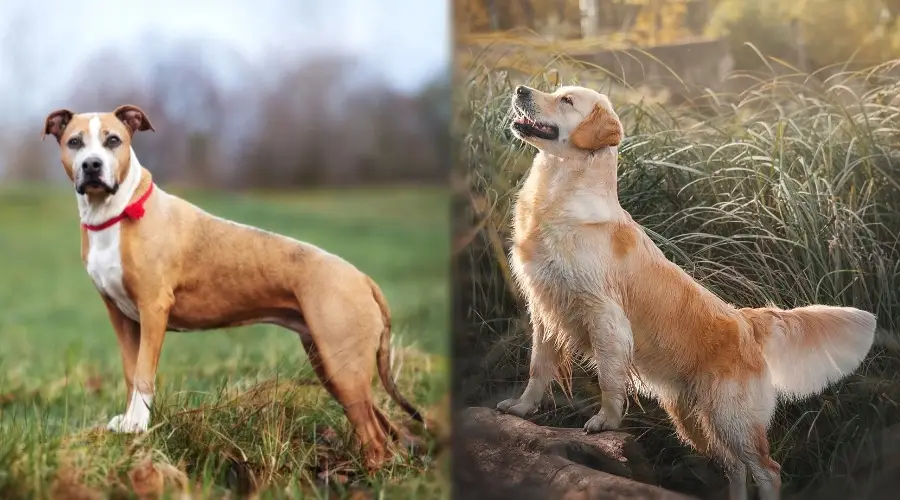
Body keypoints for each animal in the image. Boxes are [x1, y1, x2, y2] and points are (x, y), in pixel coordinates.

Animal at [41, 105, 422, 468]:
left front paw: (138, 425)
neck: (117, 214)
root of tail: (362, 278)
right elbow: (130, 373)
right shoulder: (122, 318)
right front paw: (128, 422)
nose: (92, 165)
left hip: (343, 366)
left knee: (374, 436)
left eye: (113, 140)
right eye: (74, 142)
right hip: (330, 365)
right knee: (381, 425)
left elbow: (144, 374)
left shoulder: (153, 310)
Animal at [496, 86, 876, 500]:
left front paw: (605, 421)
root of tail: (744, 320)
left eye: (566, 100)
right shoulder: (545, 308)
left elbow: (609, 378)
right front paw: (521, 408)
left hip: (733, 418)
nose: (520, 90)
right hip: (697, 420)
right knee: (735, 468)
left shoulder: (605, 315)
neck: (561, 195)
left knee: (766, 469)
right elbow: (537, 368)